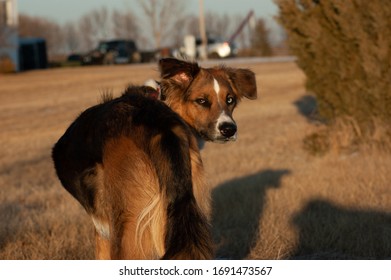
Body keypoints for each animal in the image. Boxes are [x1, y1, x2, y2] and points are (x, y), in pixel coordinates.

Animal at [52, 57, 258, 260]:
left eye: (230, 100)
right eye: (201, 101)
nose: (229, 129)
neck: (162, 101)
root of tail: (161, 123)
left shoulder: (104, 230)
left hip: (128, 221)